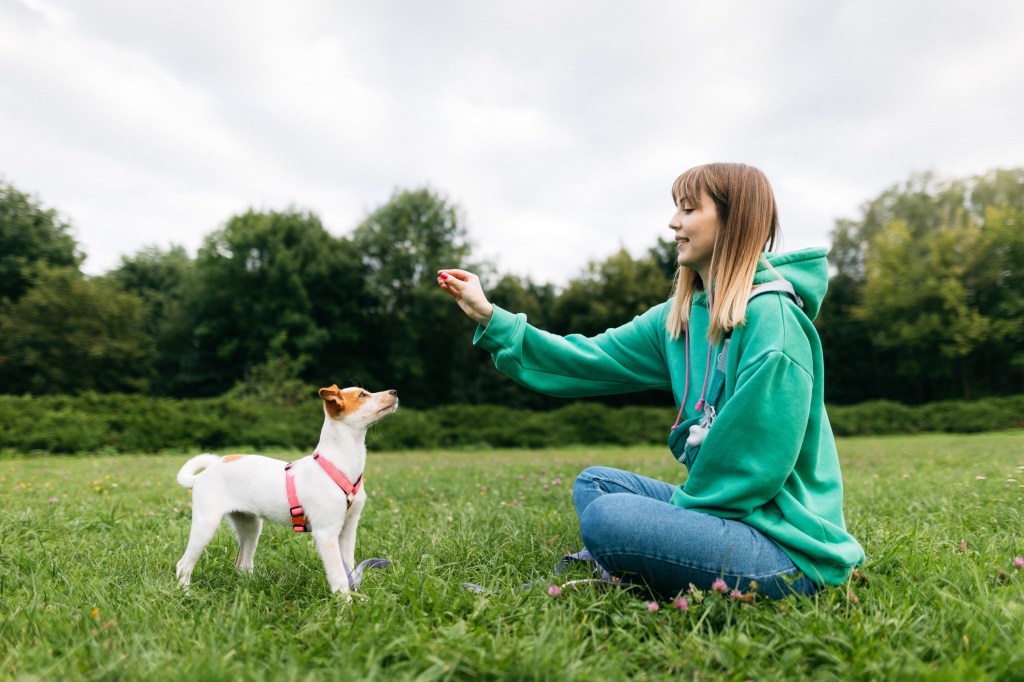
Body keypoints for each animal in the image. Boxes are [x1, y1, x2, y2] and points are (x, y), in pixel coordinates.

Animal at [174, 382, 397, 593]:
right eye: (362, 395)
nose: (394, 392)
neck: (338, 465)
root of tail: (204, 473)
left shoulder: (348, 530)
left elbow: (349, 569)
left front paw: (358, 597)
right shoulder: (326, 533)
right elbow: (339, 576)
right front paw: (346, 602)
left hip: (251, 525)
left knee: (242, 563)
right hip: (206, 524)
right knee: (183, 564)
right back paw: (186, 594)